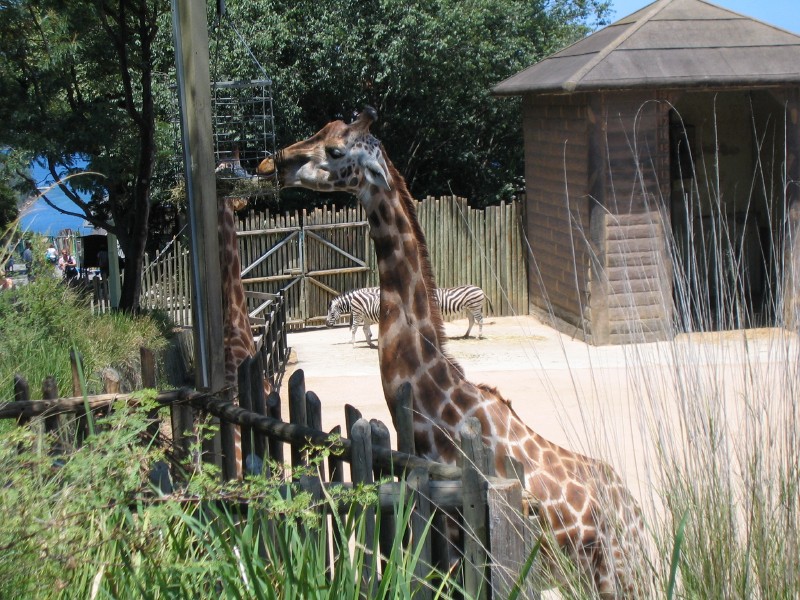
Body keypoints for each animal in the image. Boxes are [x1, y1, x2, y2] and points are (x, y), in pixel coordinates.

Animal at [257, 108, 647, 597]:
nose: (271, 163)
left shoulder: (465, 542)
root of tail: (639, 518)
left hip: (614, 575)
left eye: (334, 149)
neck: (438, 401)